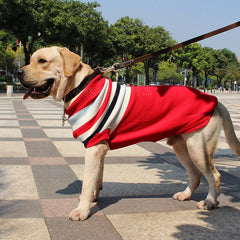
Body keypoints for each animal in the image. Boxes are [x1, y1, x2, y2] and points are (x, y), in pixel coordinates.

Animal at [17, 47, 240, 221]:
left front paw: (82, 210)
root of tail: (213, 100)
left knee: (214, 176)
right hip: (182, 147)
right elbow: (96, 179)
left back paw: (209, 202)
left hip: (198, 148)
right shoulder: (99, 148)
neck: (80, 88)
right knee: (195, 175)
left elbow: (87, 182)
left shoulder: (94, 148)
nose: (18, 71)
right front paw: (93, 199)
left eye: (42, 61)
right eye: (30, 59)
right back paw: (185, 195)